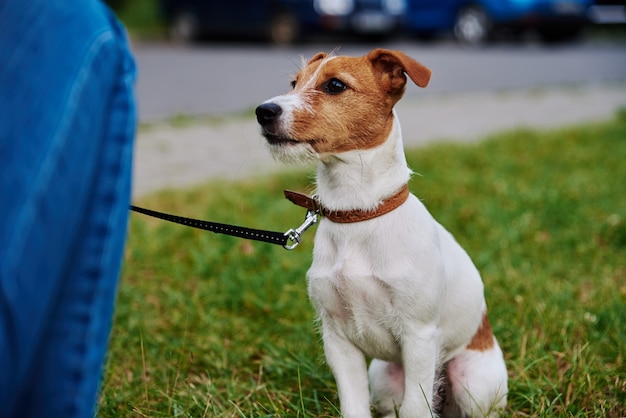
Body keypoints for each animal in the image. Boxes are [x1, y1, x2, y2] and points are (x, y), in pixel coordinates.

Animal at [254, 49, 508, 418]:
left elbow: (417, 407)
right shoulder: (337, 339)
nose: (263, 111)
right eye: (293, 83)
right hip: (385, 377)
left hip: (471, 380)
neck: (358, 214)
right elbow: (354, 405)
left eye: (335, 85)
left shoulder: (418, 337)